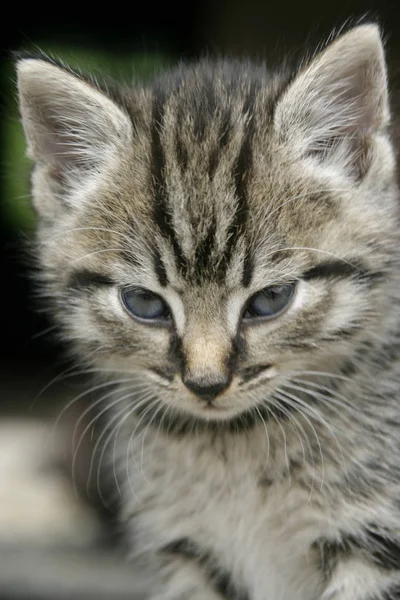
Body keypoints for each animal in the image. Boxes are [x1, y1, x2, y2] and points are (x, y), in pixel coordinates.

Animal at [17, 23, 400, 600]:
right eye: (145, 304)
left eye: (270, 300)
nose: (206, 383)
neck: (234, 443)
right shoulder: (189, 552)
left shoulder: (373, 542)